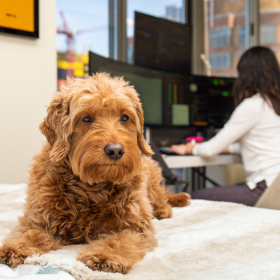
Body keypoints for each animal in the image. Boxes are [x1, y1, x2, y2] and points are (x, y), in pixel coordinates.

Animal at [0, 72, 190, 274]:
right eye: (86, 119)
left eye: (124, 117)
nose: (115, 150)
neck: (93, 186)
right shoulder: (40, 220)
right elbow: (29, 234)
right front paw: (14, 248)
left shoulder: (136, 227)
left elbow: (121, 240)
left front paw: (106, 256)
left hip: (152, 180)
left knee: (162, 197)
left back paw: (168, 206)